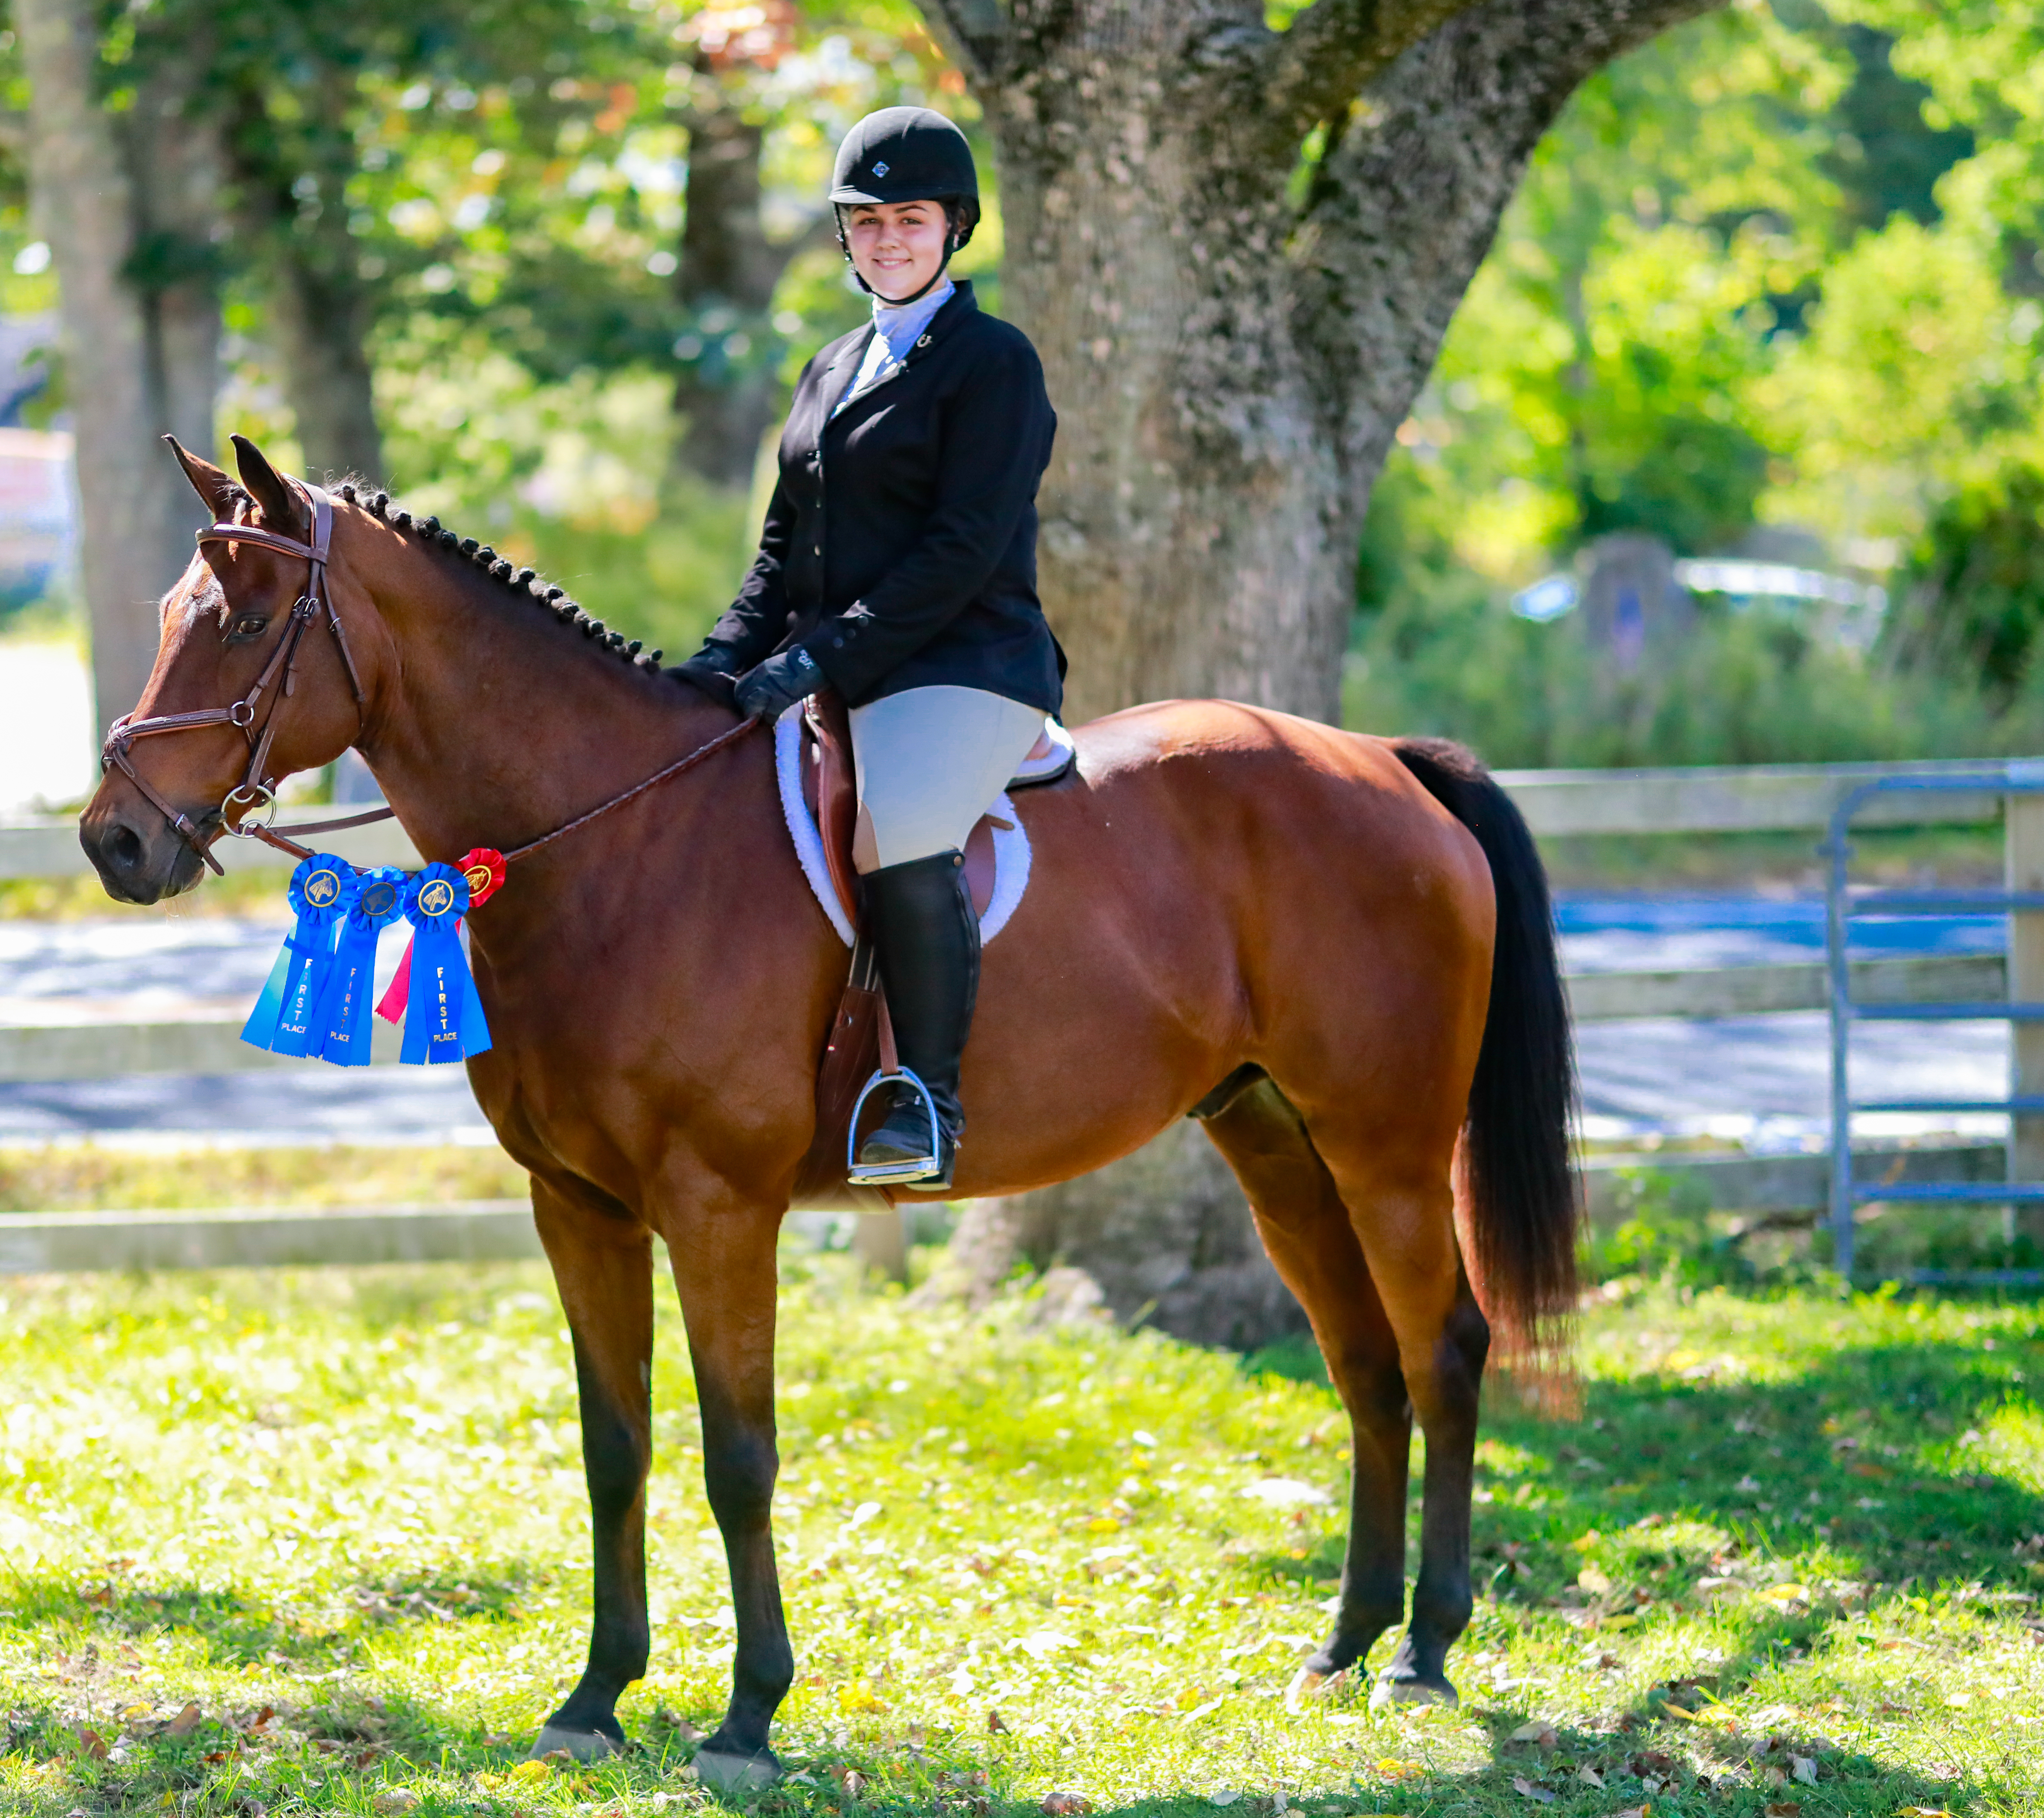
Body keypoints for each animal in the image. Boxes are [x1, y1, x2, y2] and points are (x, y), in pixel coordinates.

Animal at [79, 436, 1577, 1786]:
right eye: (169, 616)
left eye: (250, 621)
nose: (114, 840)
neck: (618, 845)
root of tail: (1379, 759)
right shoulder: (578, 1206)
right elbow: (613, 1446)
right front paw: (594, 1696)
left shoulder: (717, 1207)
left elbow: (738, 1454)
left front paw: (746, 1716)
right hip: (1272, 1136)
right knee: (1364, 1362)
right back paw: (1344, 1640)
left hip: (1385, 1142)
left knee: (1443, 1347)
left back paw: (1421, 1650)